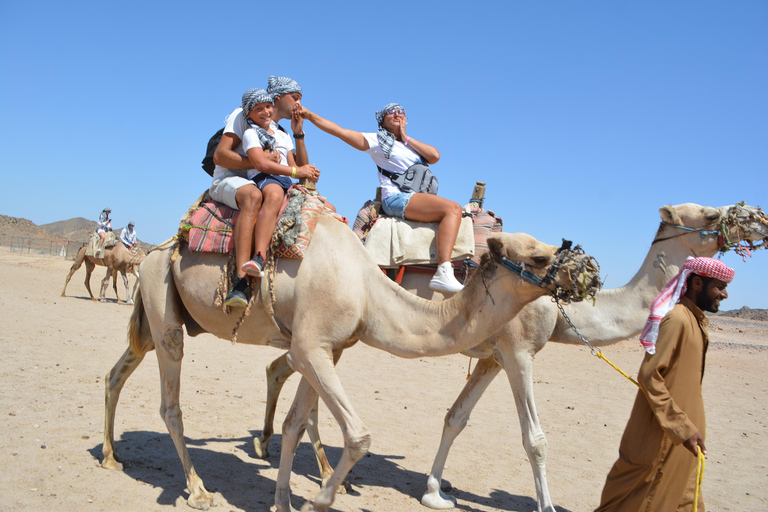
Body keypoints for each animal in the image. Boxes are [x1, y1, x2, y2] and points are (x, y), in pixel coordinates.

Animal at [99, 213, 600, 512]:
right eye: (540, 255)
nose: (591, 271)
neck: (368, 289)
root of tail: (154, 252)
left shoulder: (326, 347)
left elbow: (295, 424)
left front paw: (283, 500)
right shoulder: (310, 347)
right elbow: (358, 436)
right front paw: (319, 500)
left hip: (157, 311)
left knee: (116, 372)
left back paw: (110, 456)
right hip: (164, 311)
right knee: (170, 404)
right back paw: (198, 489)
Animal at [255, 201, 768, 512]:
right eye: (709, 214)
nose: (759, 219)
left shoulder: (492, 356)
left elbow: (455, 418)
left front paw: (435, 491)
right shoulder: (518, 349)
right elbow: (534, 439)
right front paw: (546, 504)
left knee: (288, 373)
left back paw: (292, 457)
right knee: (294, 374)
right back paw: (297, 461)